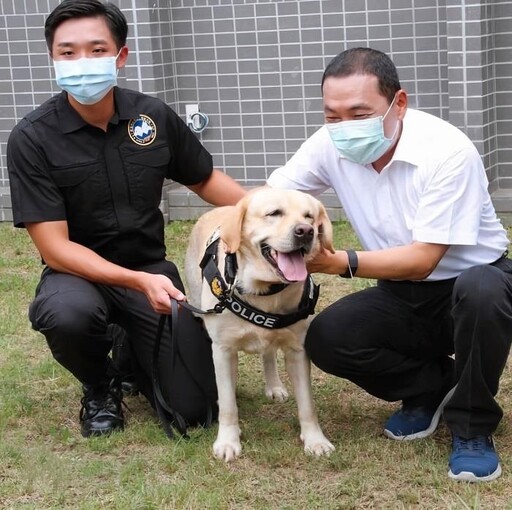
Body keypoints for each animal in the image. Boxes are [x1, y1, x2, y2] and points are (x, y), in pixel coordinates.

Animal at [184, 187, 336, 462]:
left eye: (309, 216)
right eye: (274, 213)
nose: (306, 231)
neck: (265, 292)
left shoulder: (298, 349)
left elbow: (307, 404)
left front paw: (315, 440)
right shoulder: (222, 350)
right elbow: (228, 405)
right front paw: (228, 441)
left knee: (268, 353)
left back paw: (274, 385)